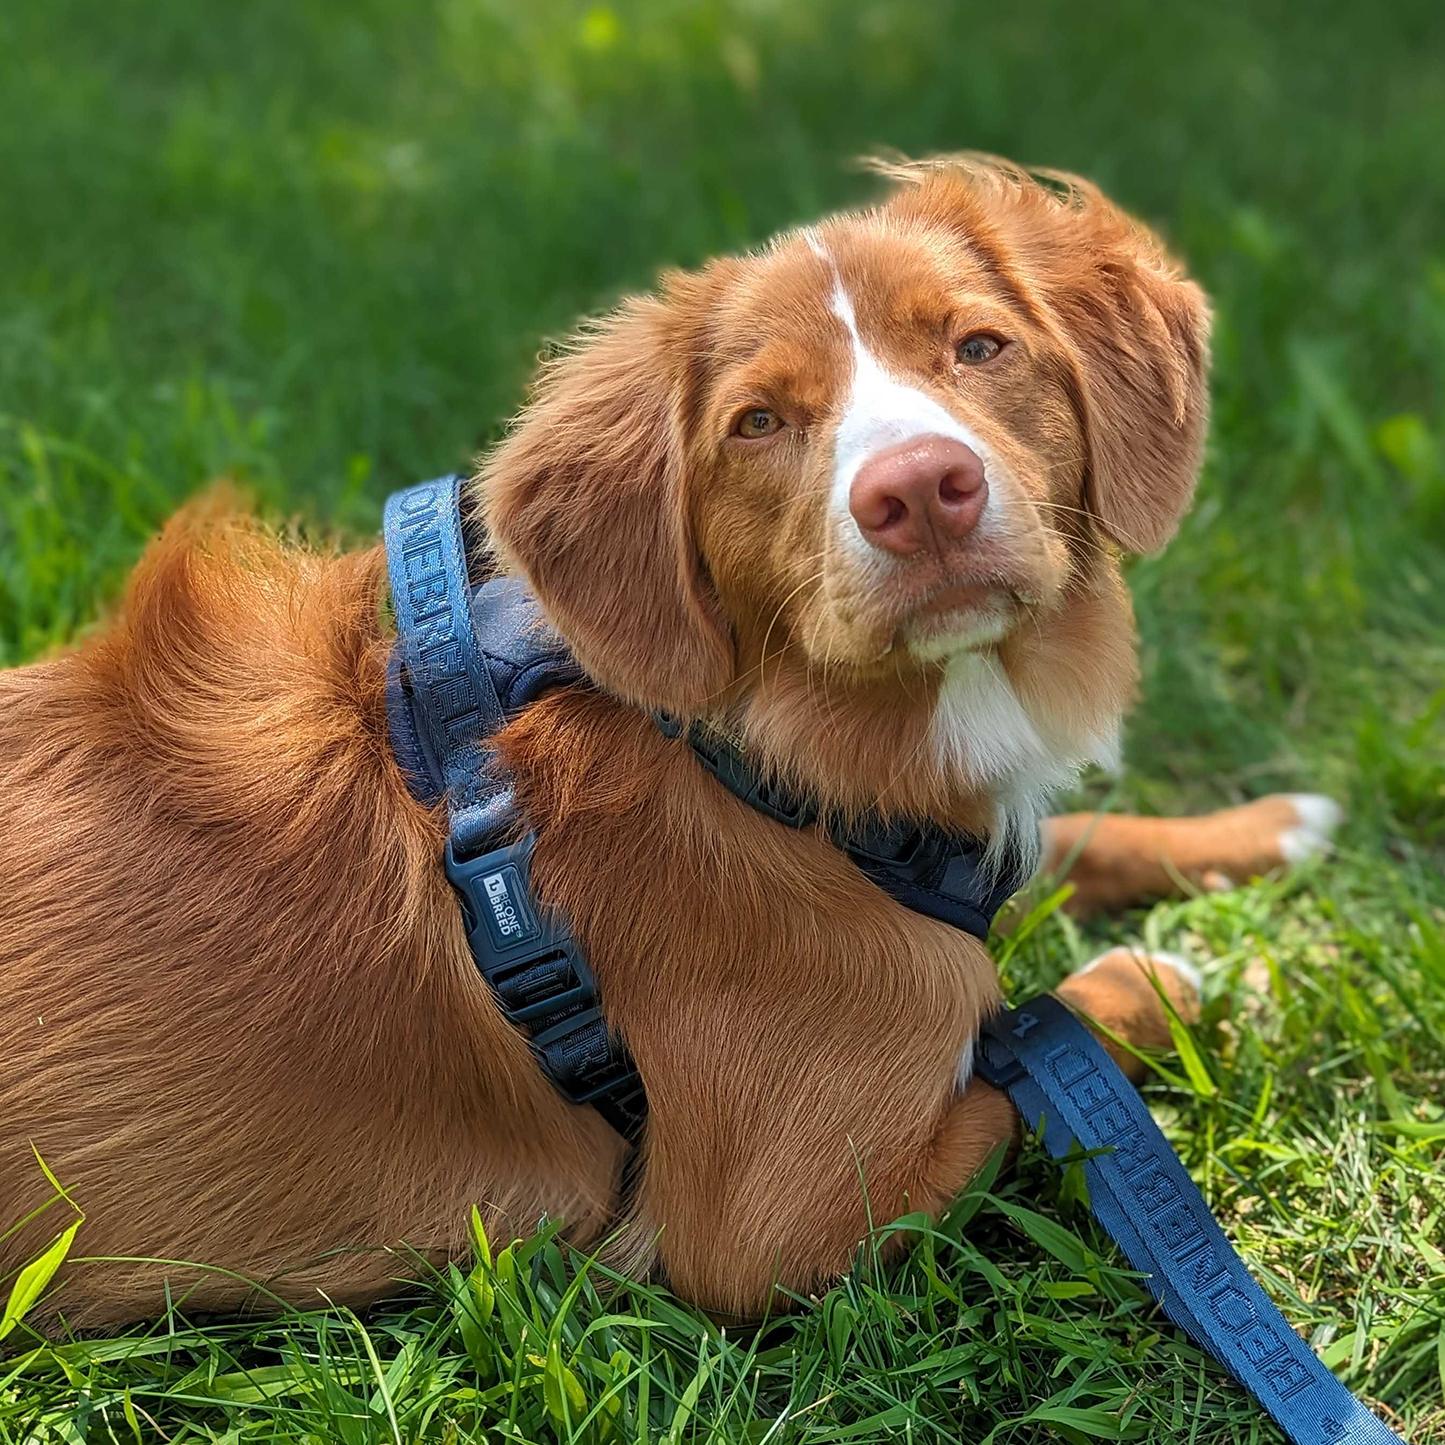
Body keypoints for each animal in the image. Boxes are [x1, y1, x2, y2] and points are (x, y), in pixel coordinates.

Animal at [0, 158, 1335, 1329]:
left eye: (977, 347)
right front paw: (1167, 977)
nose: (917, 491)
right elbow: (1027, 1057)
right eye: (758, 423)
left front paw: (1262, 826)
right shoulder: (781, 1224)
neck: (755, 762)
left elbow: (1061, 838)